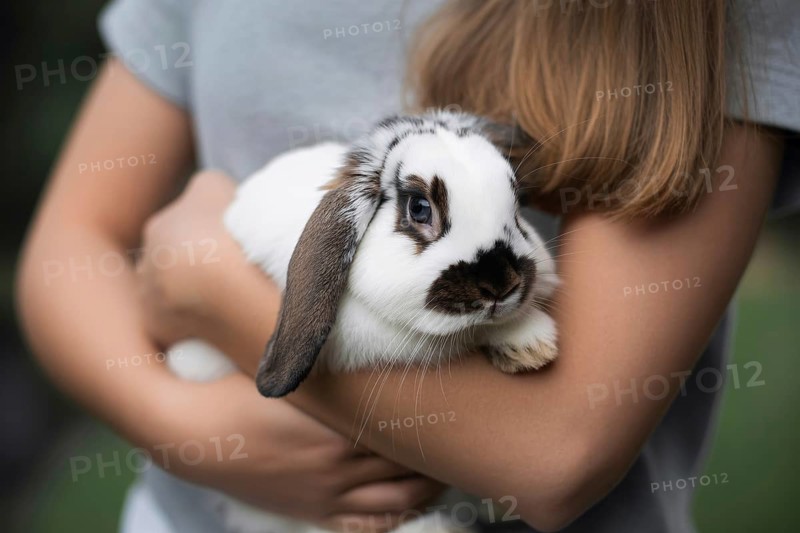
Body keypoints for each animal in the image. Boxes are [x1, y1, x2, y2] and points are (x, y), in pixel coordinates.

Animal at [166, 110, 559, 533]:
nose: (502, 283)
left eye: (517, 204)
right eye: (419, 208)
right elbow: (466, 334)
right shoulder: (369, 340)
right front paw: (530, 340)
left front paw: (530, 347)